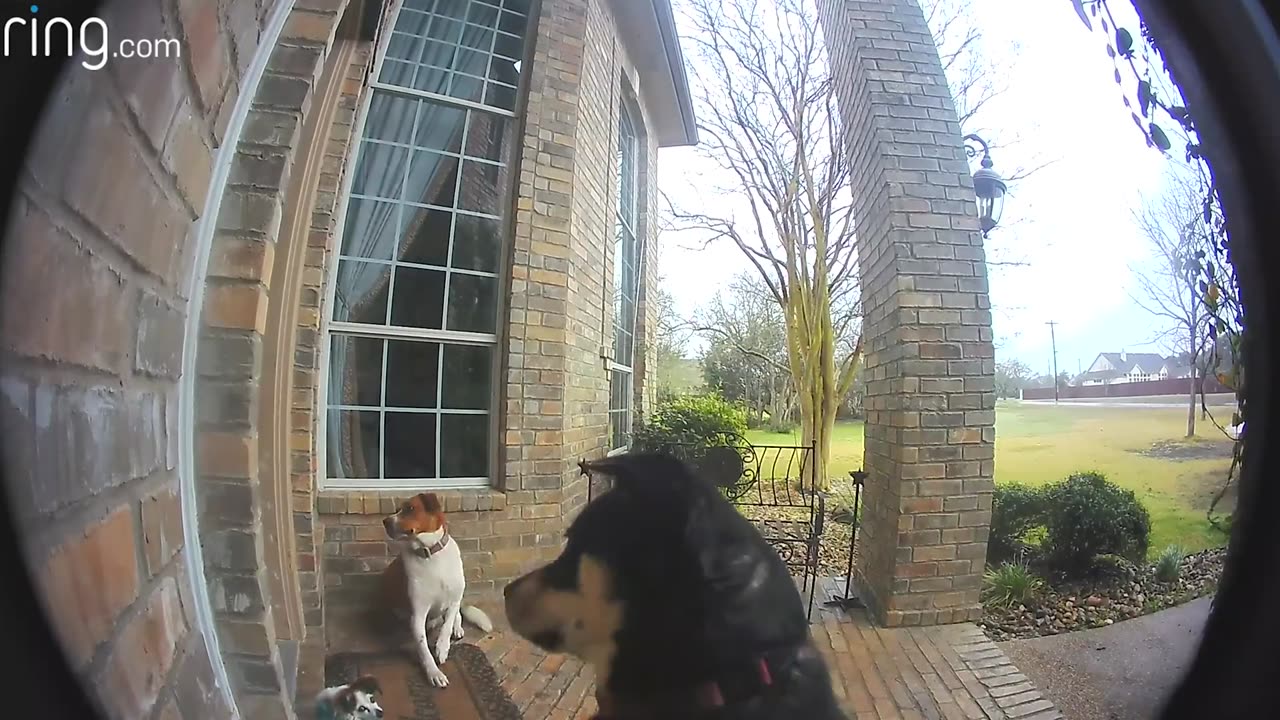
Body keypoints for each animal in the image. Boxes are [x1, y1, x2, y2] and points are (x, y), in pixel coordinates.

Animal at [378, 489, 494, 686]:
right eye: (398, 509)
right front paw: (434, 673)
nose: (385, 521)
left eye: (410, 508)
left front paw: (442, 648)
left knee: (456, 616)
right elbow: (423, 648)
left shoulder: (454, 600)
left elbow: (447, 625)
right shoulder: (418, 614)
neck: (430, 554)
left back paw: (457, 628)